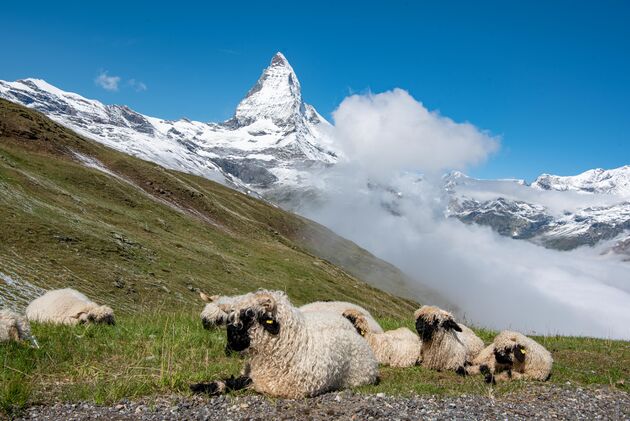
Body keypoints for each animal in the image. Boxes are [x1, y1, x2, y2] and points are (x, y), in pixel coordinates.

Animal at [191, 288, 380, 398]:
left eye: (249, 316)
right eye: (229, 318)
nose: (231, 345)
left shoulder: (275, 386)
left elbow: (238, 383)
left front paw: (203, 387)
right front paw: (200, 386)